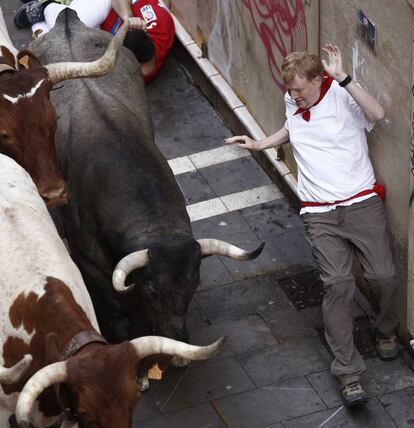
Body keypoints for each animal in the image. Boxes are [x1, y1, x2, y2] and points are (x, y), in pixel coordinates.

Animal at [30, 10, 264, 344]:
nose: (177, 337)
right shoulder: (89, 260)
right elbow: (115, 310)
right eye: (152, 292)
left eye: (192, 288)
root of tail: (66, 20)